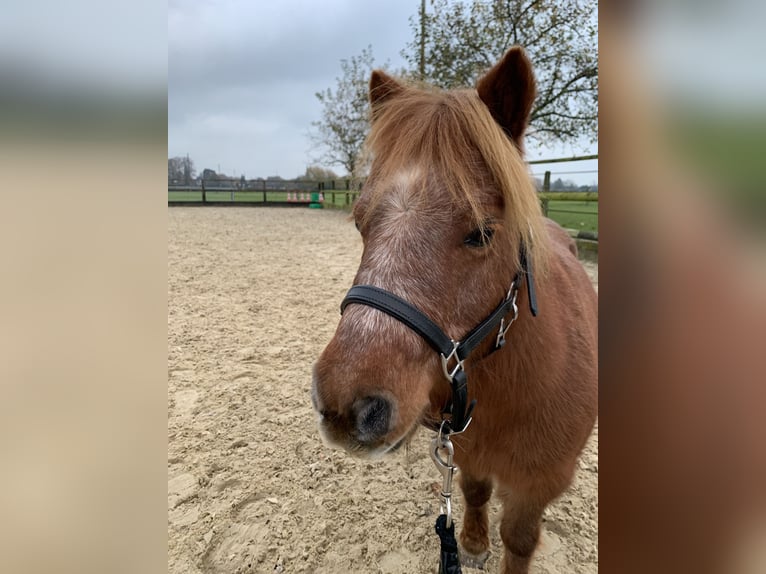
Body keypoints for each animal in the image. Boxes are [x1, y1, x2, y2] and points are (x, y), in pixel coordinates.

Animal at [308, 46, 596, 574]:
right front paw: (474, 542)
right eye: (360, 222)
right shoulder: (469, 451)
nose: (347, 405)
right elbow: (475, 491)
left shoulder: (538, 484)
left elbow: (519, 539)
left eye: (482, 232)